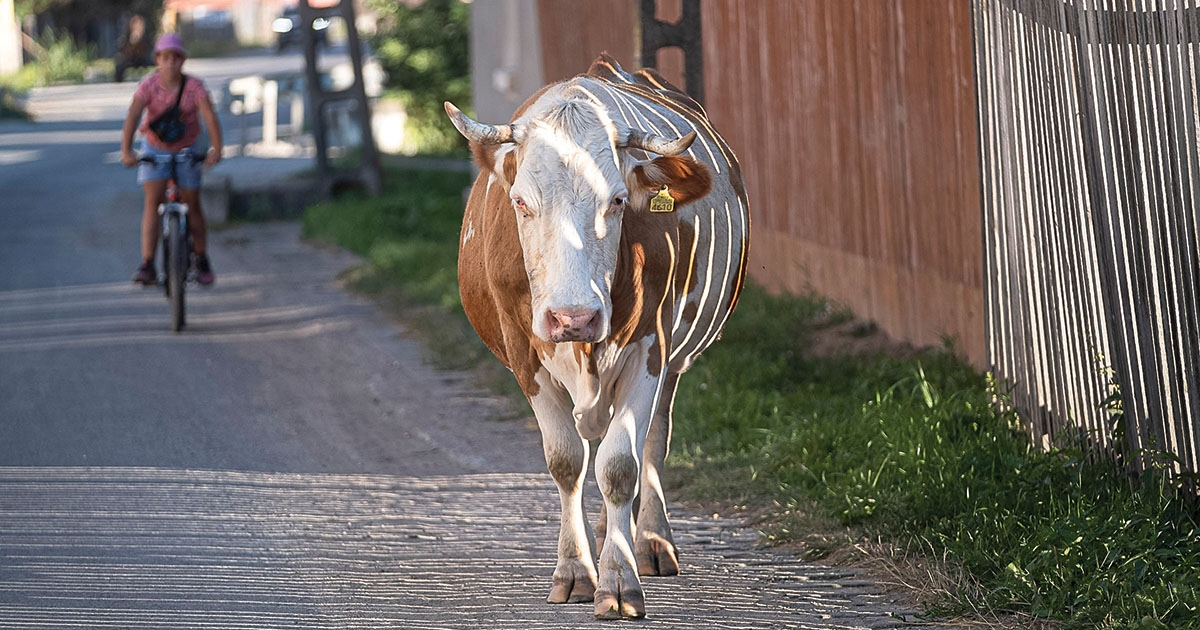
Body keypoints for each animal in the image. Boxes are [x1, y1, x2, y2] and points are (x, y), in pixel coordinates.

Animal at [446, 55, 748, 619]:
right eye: (521, 203)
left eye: (618, 201)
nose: (573, 318)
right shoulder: (524, 354)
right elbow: (567, 461)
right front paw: (575, 571)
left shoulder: (652, 348)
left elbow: (620, 464)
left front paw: (620, 578)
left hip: (675, 362)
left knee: (651, 441)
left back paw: (646, 540)